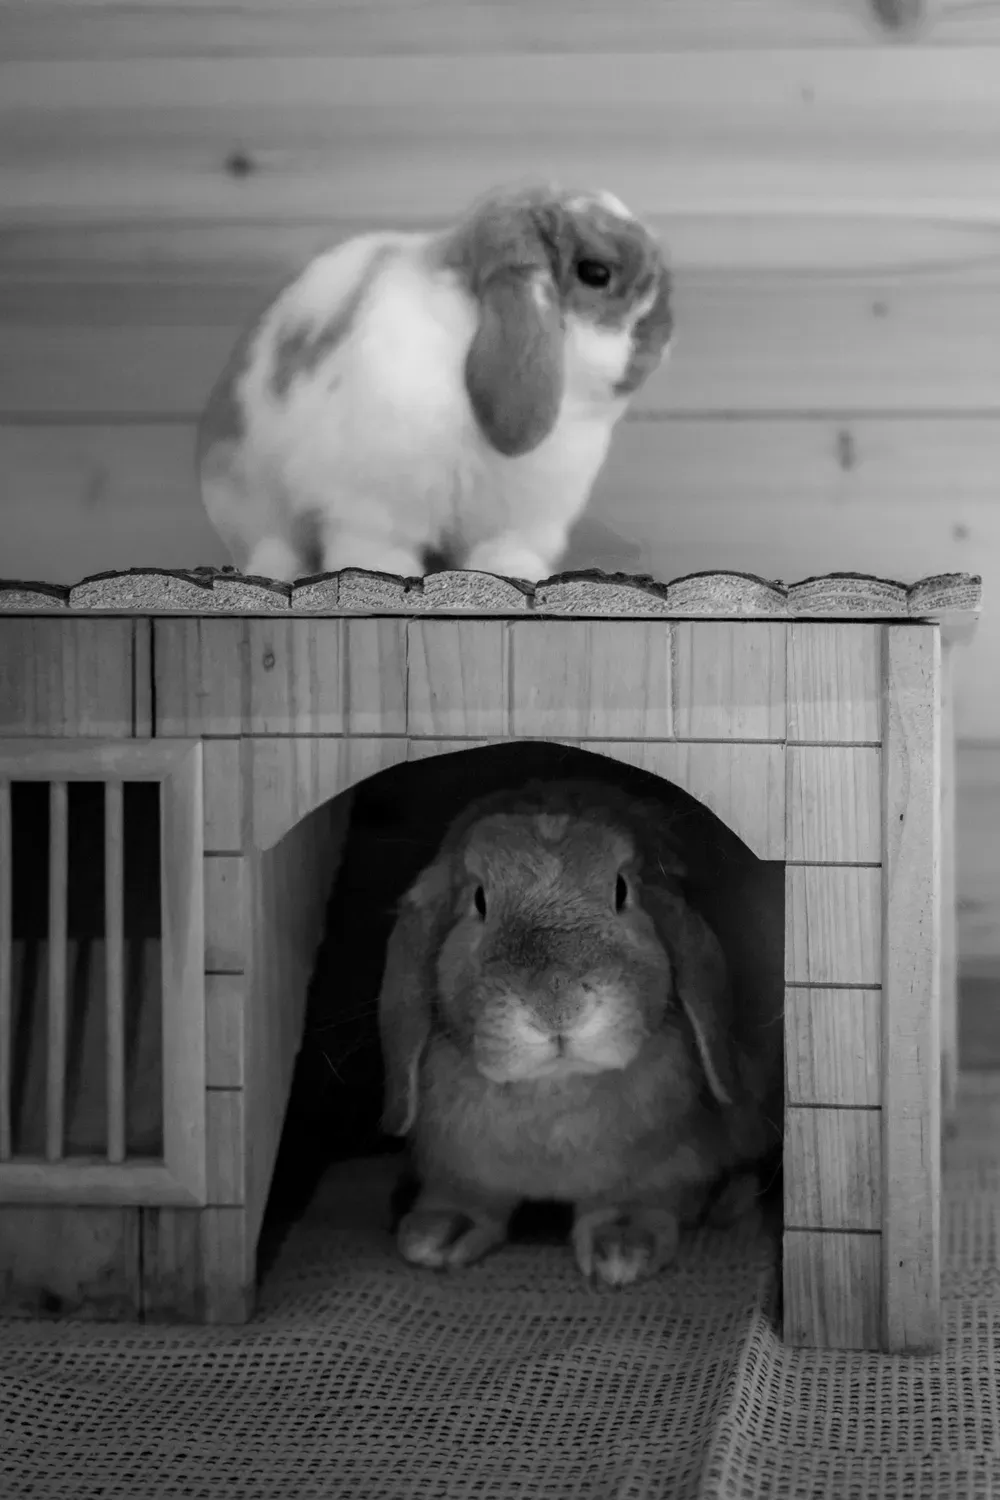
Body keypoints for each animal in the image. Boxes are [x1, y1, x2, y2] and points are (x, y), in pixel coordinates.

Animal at [196, 182, 672, 584]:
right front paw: (383, 572)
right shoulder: (373, 504)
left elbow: (504, 550)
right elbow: (376, 548)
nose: (663, 333)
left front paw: (515, 572)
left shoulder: (522, 518)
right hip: (247, 499)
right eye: (596, 273)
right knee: (272, 544)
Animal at [377, 778, 782, 1290]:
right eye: (479, 901)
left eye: (622, 890)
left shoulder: (664, 1168)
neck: (554, 1087)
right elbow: (465, 1195)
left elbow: (639, 1199)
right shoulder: (458, 1166)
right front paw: (437, 1235)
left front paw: (623, 1249)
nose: (557, 1000)